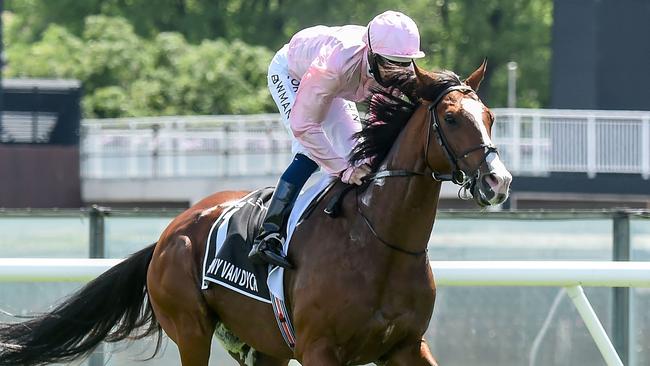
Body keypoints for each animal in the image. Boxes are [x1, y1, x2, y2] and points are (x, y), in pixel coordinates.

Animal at [0, 61, 508, 364]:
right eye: (451, 118)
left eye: (489, 116)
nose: (498, 181)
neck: (380, 243)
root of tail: (169, 233)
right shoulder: (319, 349)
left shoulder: (406, 345)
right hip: (192, 329)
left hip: (262, 345)